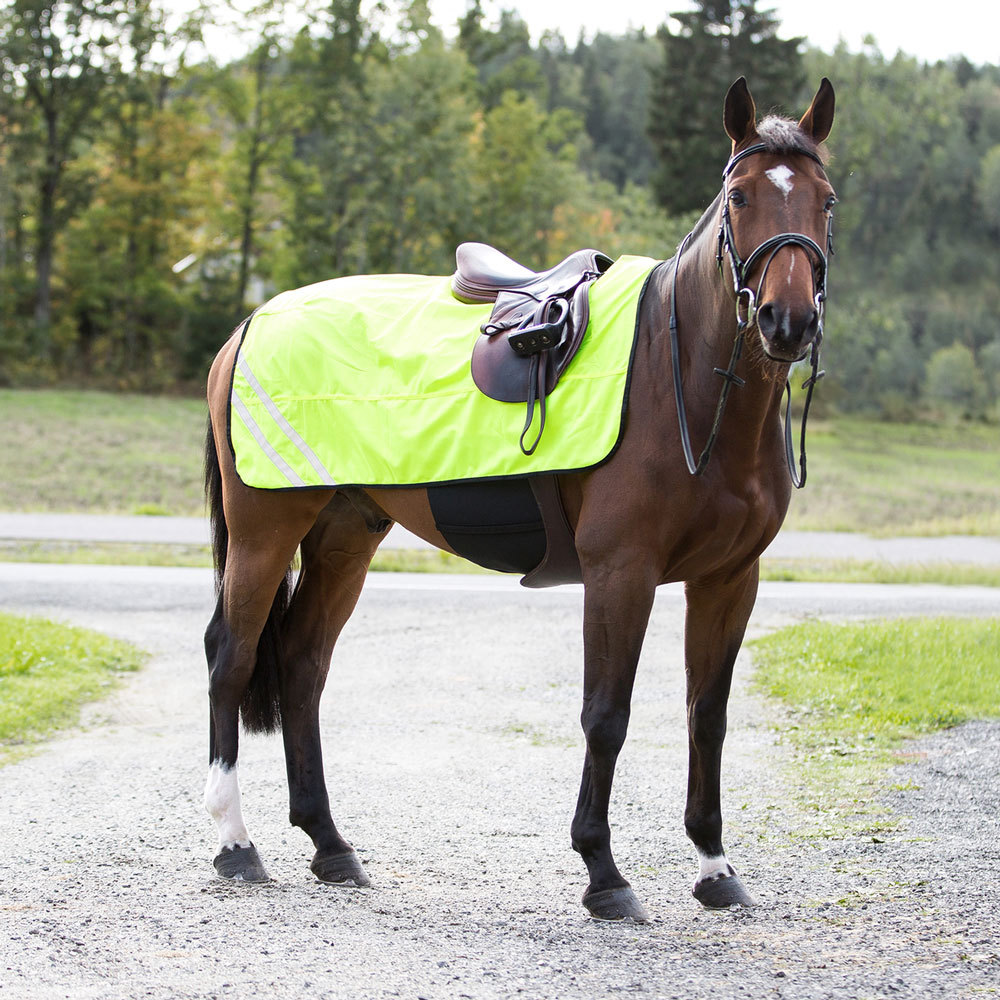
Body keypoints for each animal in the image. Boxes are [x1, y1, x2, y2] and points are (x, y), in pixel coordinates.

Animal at [202, 77, 837, 922]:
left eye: (826, 201)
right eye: (739, 197)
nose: (787, 320)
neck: (683, 381)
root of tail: (249, 323)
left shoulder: (730, 579)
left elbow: (708, 717)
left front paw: (712, 864)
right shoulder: (621, 573)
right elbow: (606, 716)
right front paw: (604, 873)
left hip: (345, 536)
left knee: (303, 665)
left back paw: (330, 845)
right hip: (264, 532)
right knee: (232, 659)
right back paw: (236, 844)